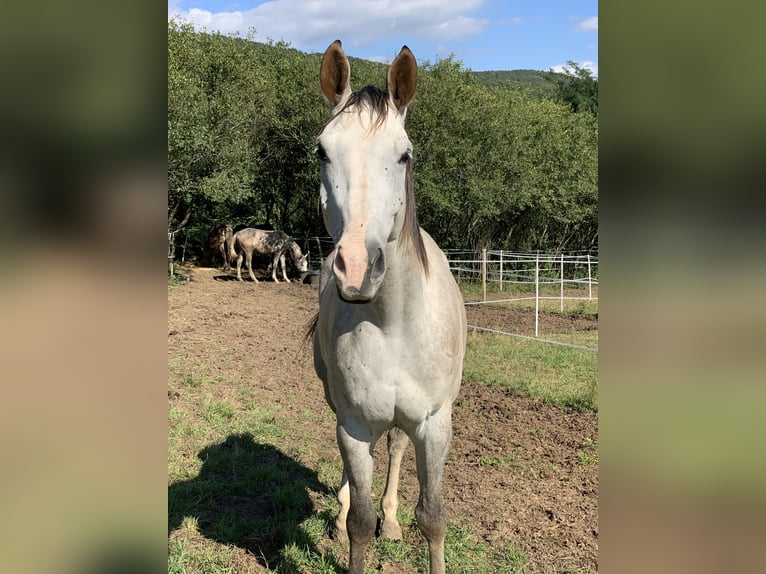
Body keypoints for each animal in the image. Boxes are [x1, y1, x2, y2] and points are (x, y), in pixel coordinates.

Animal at [312, 40, 466, 574]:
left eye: (404, 155)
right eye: (322, 151)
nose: (357, 268)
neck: (394, 324)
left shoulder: (435, 424)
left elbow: (434, 518)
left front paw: (400, 522)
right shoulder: (355, 423)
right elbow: (361, 521)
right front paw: (348, 524)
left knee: (397, 447)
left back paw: (394, 521)